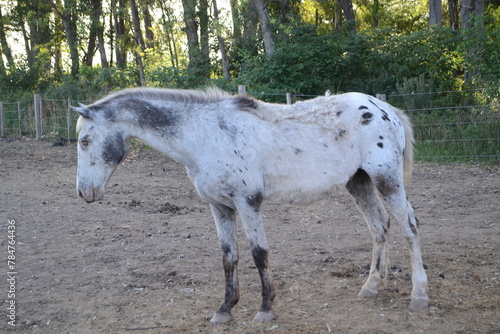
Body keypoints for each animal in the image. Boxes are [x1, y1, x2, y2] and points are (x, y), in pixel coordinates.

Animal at [74, 86, 430, 324]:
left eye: (85, 140)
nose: (84, 192)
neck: (207, 135)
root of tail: (385, 109)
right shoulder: (219, 207)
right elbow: (229, 257)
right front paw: (225, 309)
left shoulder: (248, 202)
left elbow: (259, 254)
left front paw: (265, 309)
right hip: (358, 181)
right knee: (379, 226)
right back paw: (371, 287)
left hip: (387, 180)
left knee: (410, 227)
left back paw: (419, 295)